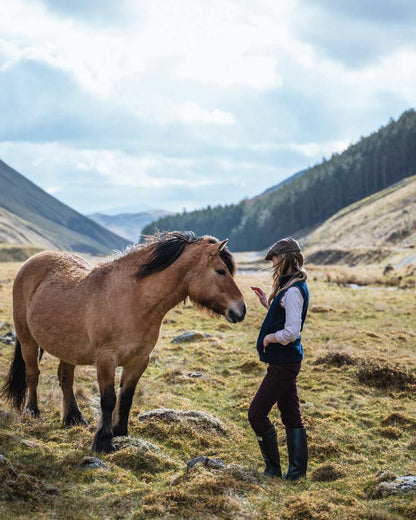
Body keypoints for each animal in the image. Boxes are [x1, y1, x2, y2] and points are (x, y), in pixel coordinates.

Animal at [0, 232, 247, 450]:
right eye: (221, 271)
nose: (241, 310)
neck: (133, 300)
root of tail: (32, 262)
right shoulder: (106, 359)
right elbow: (108, 399)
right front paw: (103, 441)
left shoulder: (139, 361)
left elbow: (126, 398)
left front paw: (121, 433)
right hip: (28, 340)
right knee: (33, 375)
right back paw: (33, 412)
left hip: (68, 348)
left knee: (65, 378)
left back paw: (73, 417)